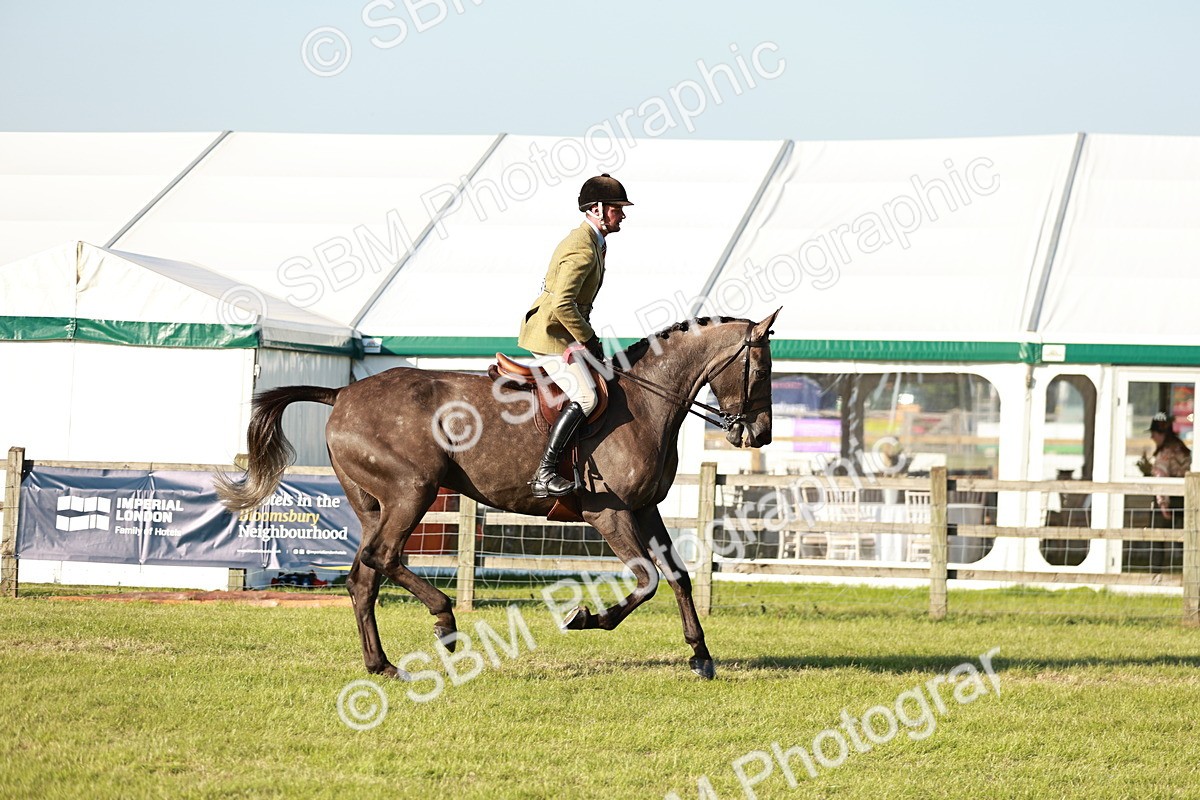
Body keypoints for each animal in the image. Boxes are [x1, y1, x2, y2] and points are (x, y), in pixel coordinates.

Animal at [215, 311, 778, 679]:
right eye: (762, 368)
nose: (761, 434)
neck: (645, 401)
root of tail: (343, 394)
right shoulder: (611, 514)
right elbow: (646, 581)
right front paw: (587, 618)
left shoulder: (645, 508)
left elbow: (678, 577)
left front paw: (700, 656)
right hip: (413, 491)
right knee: (384, 557)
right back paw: (445, 622)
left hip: (374, 503)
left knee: (363, 578)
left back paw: (382, 664)